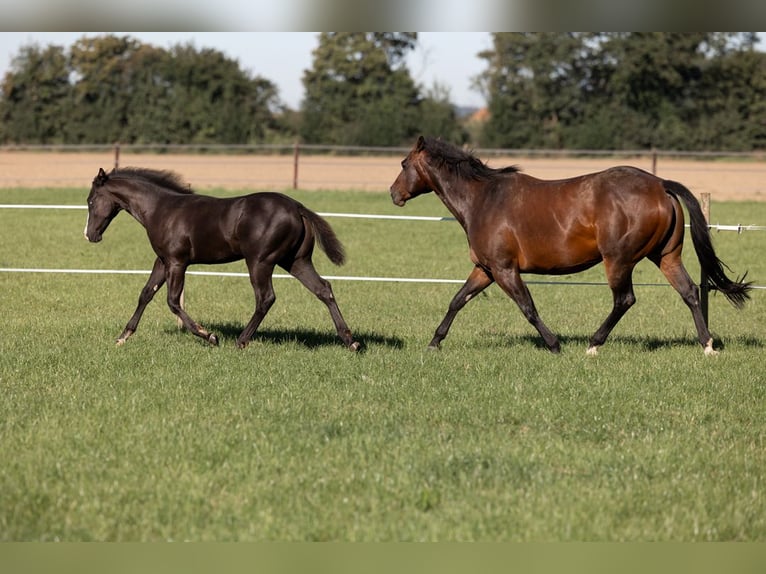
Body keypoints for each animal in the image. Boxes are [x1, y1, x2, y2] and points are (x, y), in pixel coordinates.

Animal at [85, 167, 360, 351]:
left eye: (90, 201)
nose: (90, 235)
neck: (161, 209)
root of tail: (297, 207)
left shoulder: (177, 262)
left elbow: (172, 301)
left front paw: (209, 336)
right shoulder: (162, 261)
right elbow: (145, 294)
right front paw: (123, 336)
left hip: (260, 261)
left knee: (266, 298)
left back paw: (241, 341)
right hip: (296, 261)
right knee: (323, 289)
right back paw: (351, 341)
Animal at [390, 136, 751, 355]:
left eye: (404, 164)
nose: (394, 194)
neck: (483, 199)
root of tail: (660, 184)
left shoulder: (505, 270)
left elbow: (528, 307)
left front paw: (554, 345)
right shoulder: (486, 269)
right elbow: (457, 300)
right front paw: (434, 343)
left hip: (618, 260)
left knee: (625, 299)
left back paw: (593, 344)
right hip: (665, 256)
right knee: (689, 292)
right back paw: (708, 345)